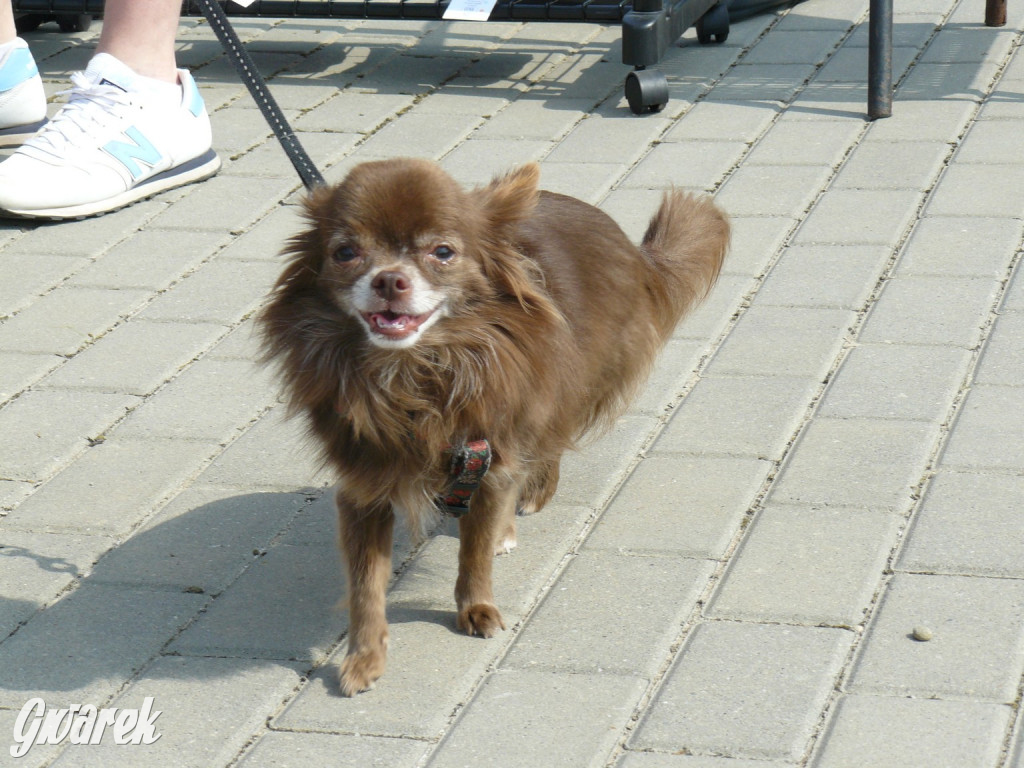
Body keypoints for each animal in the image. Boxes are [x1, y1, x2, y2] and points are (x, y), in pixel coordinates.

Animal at [260, 156, 733, 696]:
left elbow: (475, 552)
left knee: (544, 448)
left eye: (443, 252)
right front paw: (364, 656)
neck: (414, 379)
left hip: (565, 384)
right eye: (345, 252)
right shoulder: (365, 488)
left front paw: (476, 606)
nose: (389, 280)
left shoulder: (489, 451)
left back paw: (524, 504)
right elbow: (365, 583)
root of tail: (629, 246)